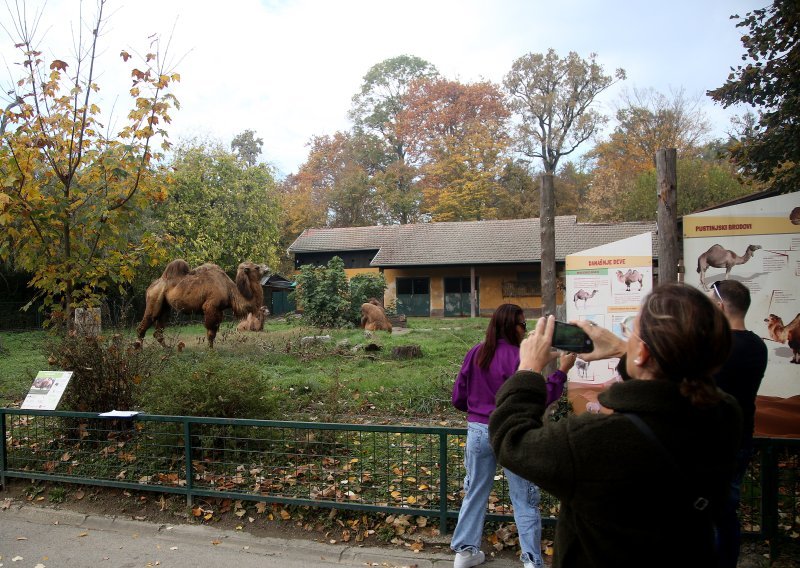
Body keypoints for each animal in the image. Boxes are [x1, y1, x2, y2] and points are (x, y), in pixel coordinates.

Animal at [137, 260, 268, 348]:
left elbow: (213, 332)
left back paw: (168, 349)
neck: (229, 290)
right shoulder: (211, 307)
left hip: (165, 306)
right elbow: (211, 333)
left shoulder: (219, 311)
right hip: (154, 298)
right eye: (257, 267)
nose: (267, 268)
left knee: (158, 331)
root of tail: (151, 287)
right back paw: (138, 350)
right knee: (145, 323)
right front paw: (211, 352)